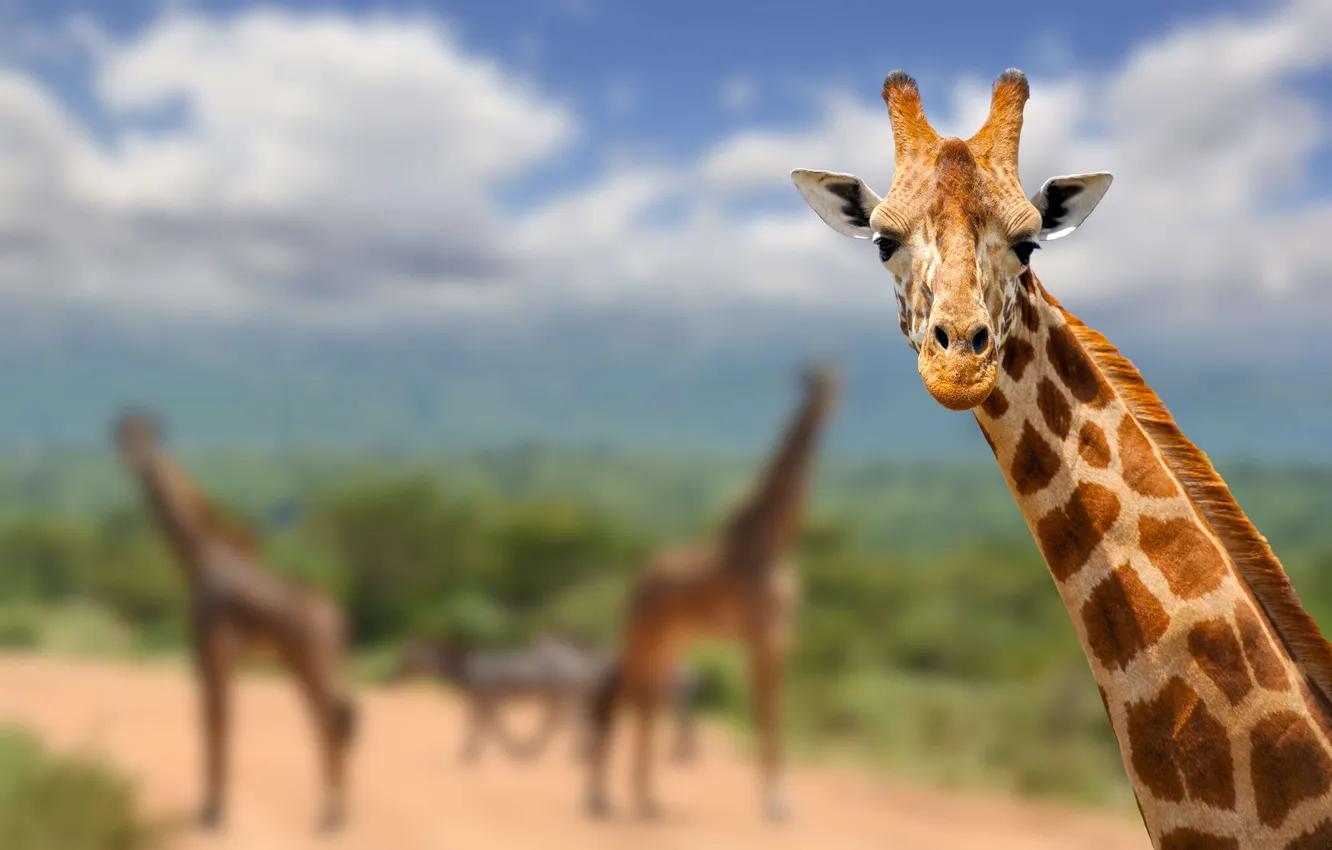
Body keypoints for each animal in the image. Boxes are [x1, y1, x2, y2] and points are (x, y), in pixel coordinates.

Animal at [113, 412, 357, 831]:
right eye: (124, 435)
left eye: (147, 437)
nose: (133, 461)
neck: (199, 555)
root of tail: (337, 619)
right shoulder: (207, 657)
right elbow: (213, 724)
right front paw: (209, 810)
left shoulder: (213, 650)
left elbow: (217, 725)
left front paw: (213, 814)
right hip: (310, 666)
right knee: (336, 720)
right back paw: (334, 813)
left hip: (313, 664)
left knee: (331, 722)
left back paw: (332, 818)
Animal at [585, 362, 839, 821]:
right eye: (813, 387)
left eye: (837, 384)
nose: (828, 409)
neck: (772, 545)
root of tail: (638, 579)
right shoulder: (760, 637)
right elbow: (766, 712)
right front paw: (776, 803)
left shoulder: (780, 639)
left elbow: (774, 712)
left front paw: (780, 800)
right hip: (642, 636)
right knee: (613, 696)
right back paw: (601, 800)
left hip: (669, 644)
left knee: (645, 703)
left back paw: (647, 800)